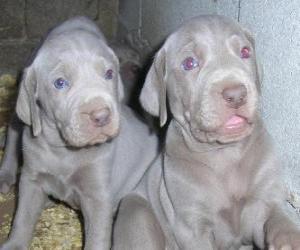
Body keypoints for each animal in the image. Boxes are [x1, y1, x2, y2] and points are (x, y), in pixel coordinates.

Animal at [0, 16, 158, 249]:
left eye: (109, 74)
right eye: (60, 83)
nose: (101, 116)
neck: (64, 151)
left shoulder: (98, 195)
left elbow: (96, 238)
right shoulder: (31, 178)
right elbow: (23, 217)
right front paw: (14, 244)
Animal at [115, 15, 300, 250]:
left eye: (245, 52)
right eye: (189, 63)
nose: (236, 94)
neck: (227, 154)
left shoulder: (263, 204)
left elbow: (277, 218)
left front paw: (290, 238)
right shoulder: (192, 227)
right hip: (137, 214)